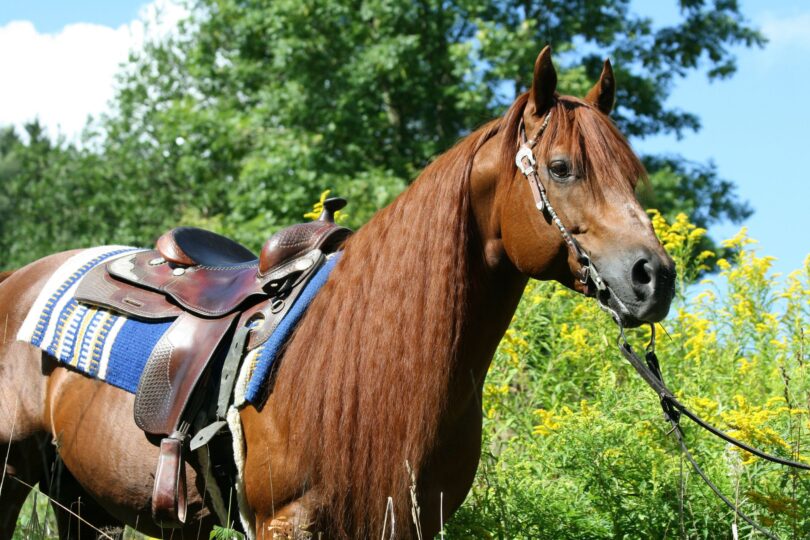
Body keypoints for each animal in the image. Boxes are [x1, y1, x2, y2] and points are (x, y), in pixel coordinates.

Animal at [0, 47, 668, 540]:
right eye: (561, 168)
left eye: (632, 176)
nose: (654, 276)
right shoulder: (287, 523)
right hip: (11, 475)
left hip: (84, 499)